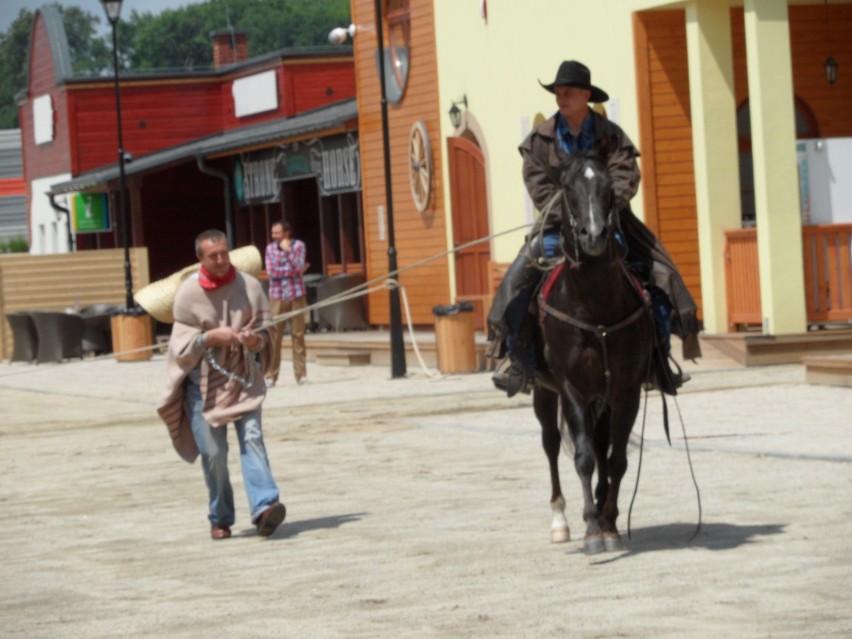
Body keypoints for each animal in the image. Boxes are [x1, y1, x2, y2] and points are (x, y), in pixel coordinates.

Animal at [532, 151, 652, 556]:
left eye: (607, 186)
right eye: (567, 187)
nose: (596, 234)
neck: (595, 305)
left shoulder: (626, 391)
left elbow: (616, 461)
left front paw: (609, 524)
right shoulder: (572, 389)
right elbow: (583, 458)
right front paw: (590, 530)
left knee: (602, 445)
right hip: (544, 392)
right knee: (552, 443)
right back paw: (559, 520)